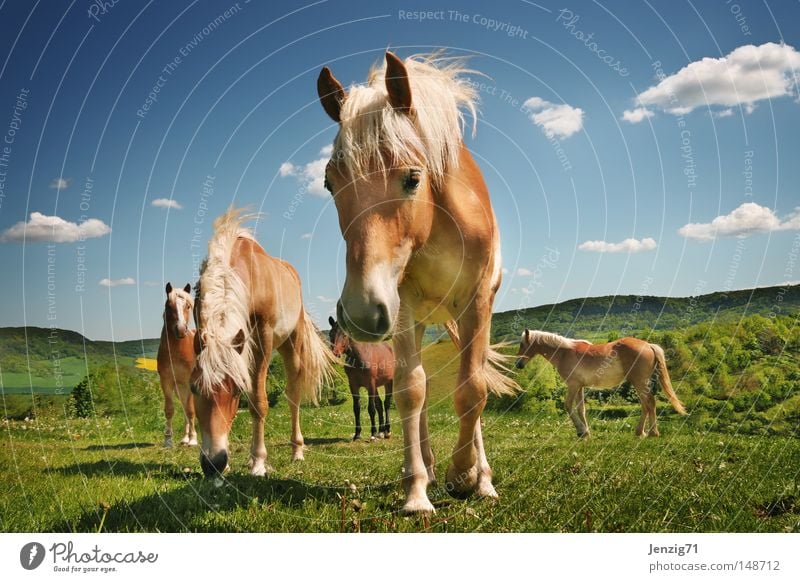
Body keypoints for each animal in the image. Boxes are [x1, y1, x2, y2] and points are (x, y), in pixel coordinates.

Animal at [192, 209, 336, 480]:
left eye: (236, 391)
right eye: (194, 389)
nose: (214, 463)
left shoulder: (263, 340)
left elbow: (258, 402)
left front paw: (259, 462)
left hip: (291, 346)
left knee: (293, 397)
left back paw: (296, 451)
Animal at [516, 330, 692, 440]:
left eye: (522, 344)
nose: (518, 364)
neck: (564, 352)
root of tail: (648, 345)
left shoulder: (573, 385)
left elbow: (568, 406)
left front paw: (581, 431)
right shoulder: (579, 387)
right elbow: (581, 409)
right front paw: (586, 433)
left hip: (639, 382)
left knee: (650, 403)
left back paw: (652, 433)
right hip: (640, 383)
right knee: (646, 405)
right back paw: (640, 432)